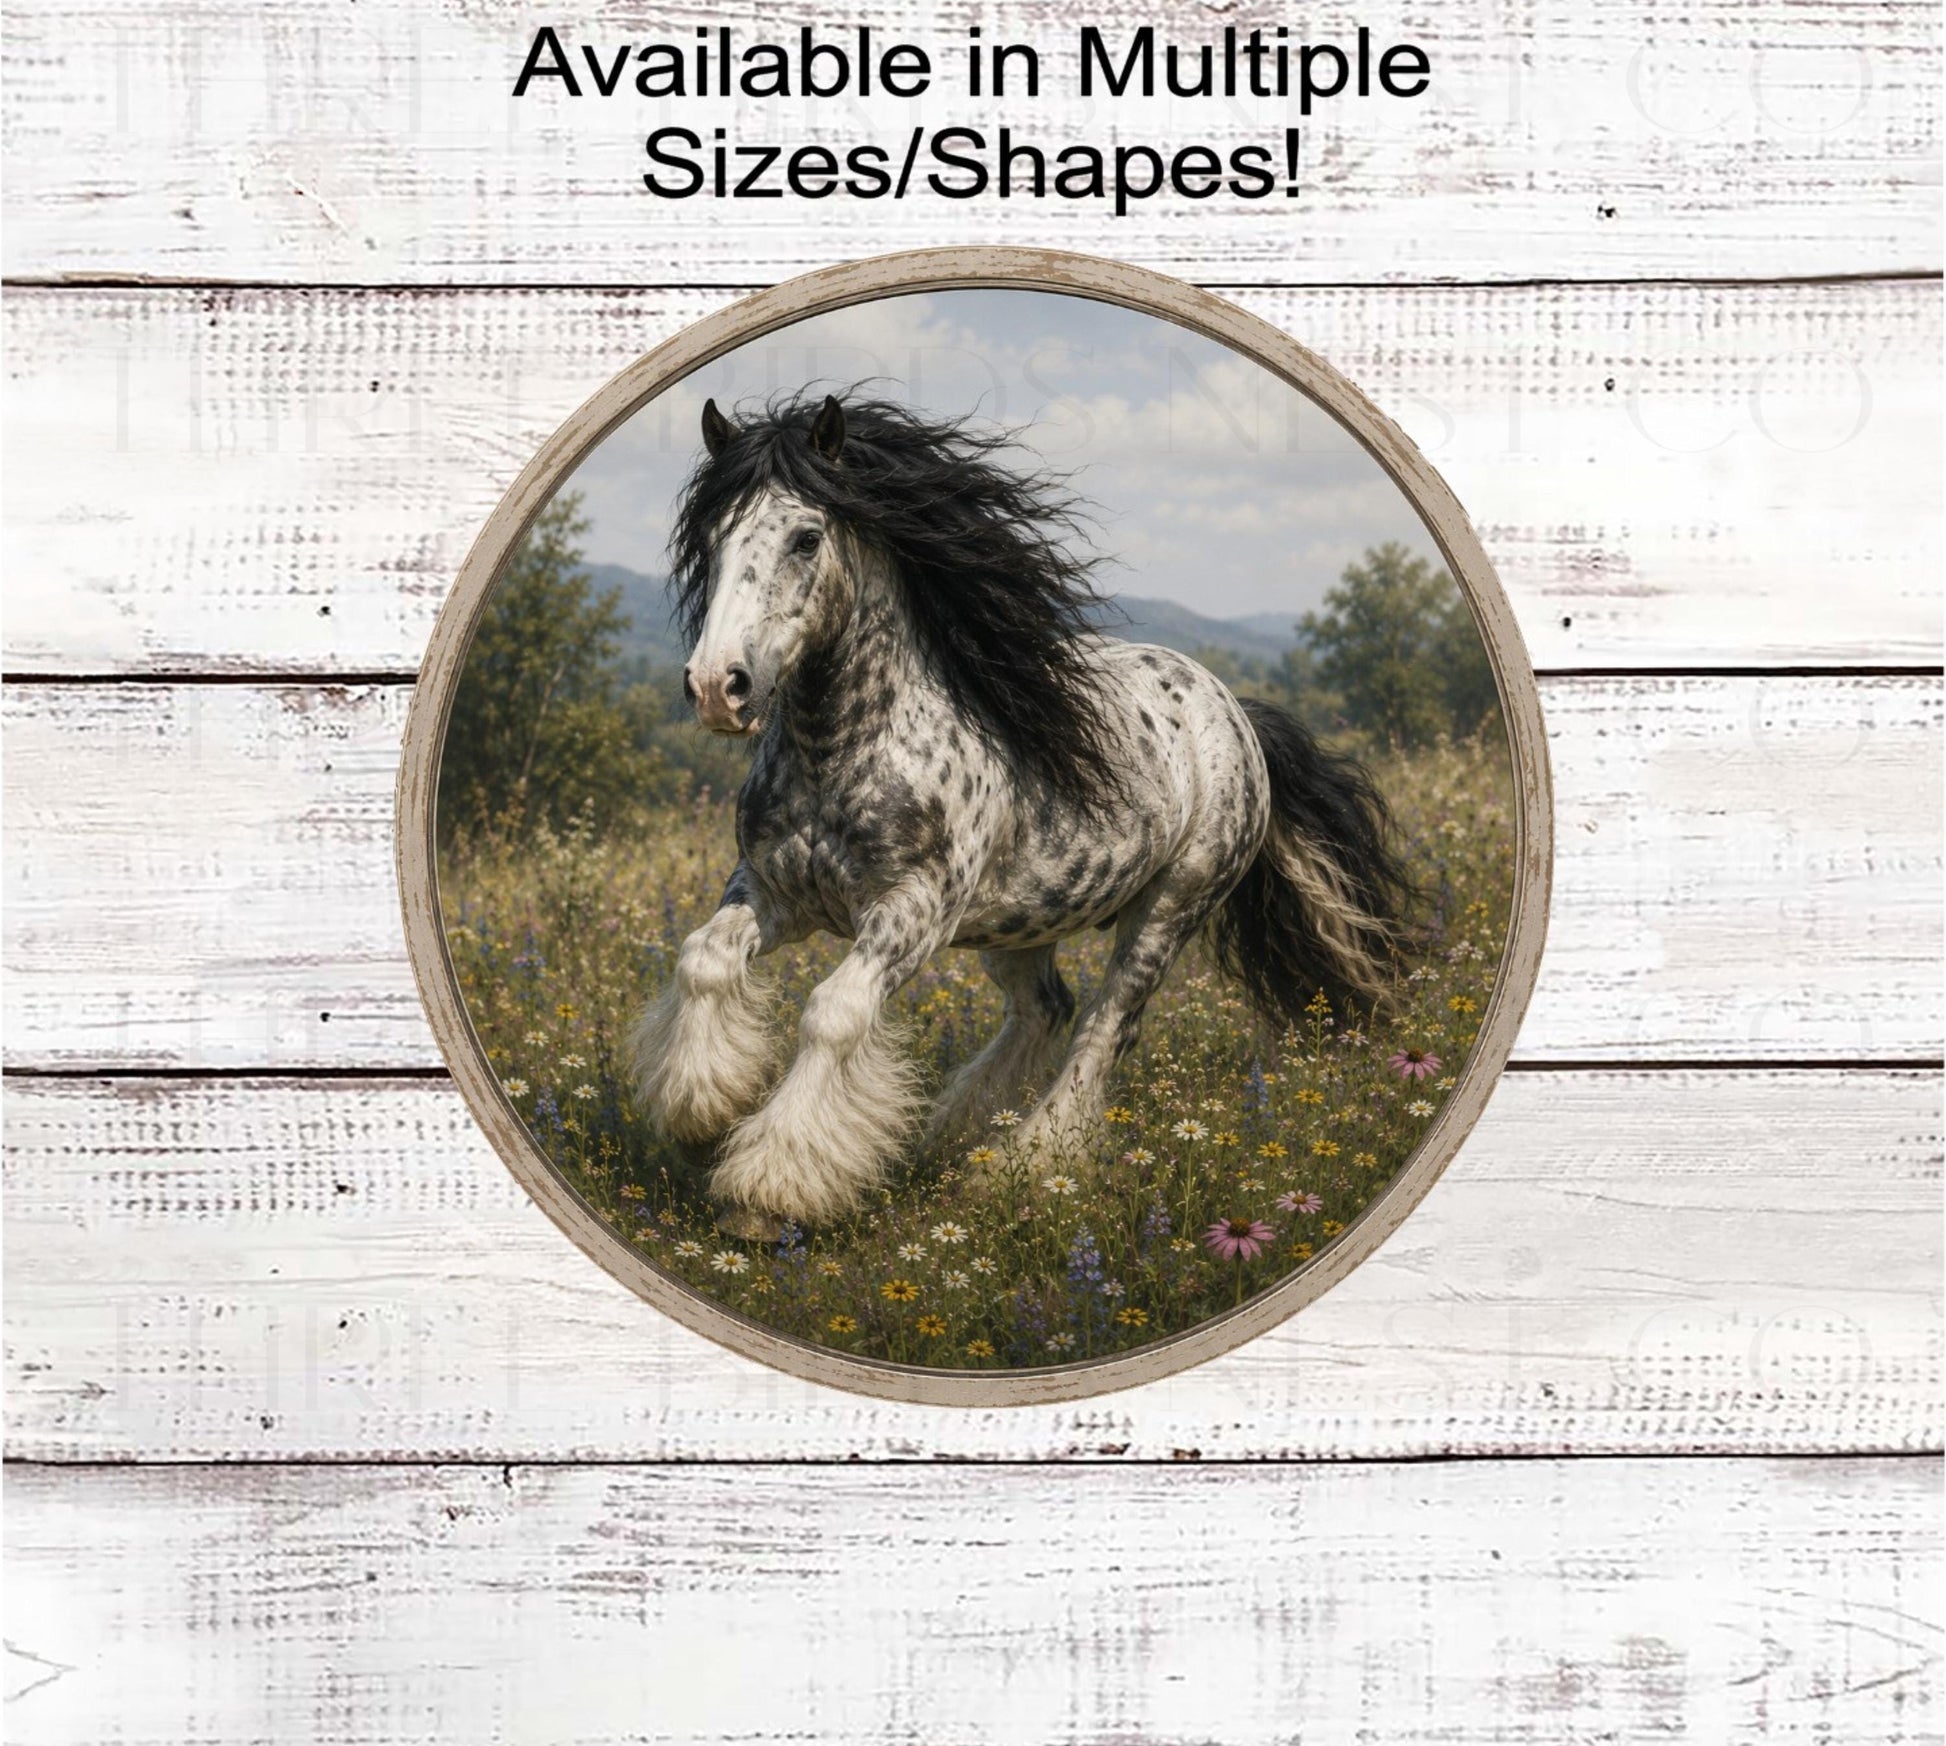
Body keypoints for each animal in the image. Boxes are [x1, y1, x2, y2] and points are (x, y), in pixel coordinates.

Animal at [632, 390, 1410, 1237]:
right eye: (712, 536)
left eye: (806, 538)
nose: (718, 687)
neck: (844, 752)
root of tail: (1233, 712)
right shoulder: (773, 890)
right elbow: (702, 959)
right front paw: (702, 1117)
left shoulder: (910, 913)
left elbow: (834, 1013)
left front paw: (766, 1195)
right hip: (1021, 922)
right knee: (1047, 1009)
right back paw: (950, 1136)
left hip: (1169, 908)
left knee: (1104, 1027)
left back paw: (1024, 1169)